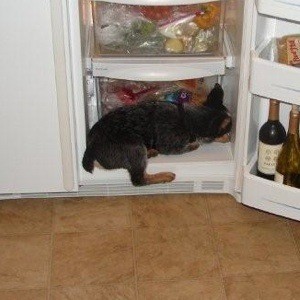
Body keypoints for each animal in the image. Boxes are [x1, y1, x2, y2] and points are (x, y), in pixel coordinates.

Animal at [82, 84, 232, 185]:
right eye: (228, 130)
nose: (231, 138)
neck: (187, 117)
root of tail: (90, 148)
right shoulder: (170, 147)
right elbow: (191, 145)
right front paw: (195, 143)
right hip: (135, 146)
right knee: (139, 179)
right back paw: (164, 175)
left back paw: (151, 152)